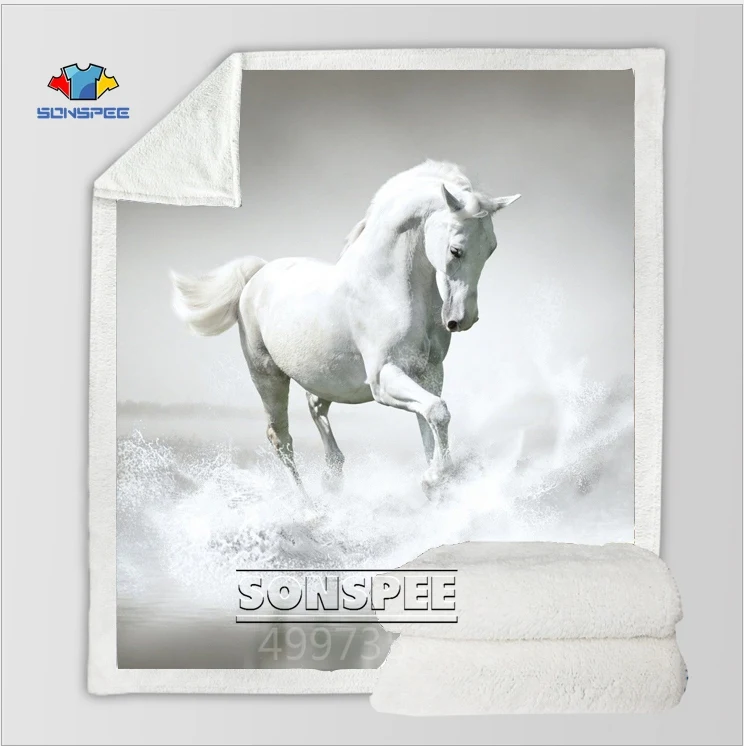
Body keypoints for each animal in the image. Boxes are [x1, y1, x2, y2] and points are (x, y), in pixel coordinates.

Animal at [171, 160, 520, 496]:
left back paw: (332, 477)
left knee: (315, 408)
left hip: (324, 378)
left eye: (491, 248)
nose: (463, 319)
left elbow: (430, 425)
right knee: (281, 439)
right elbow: (437, 412)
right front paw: (434, 479)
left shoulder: (429, 373)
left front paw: (437, 483)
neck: (386, 287)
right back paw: (309, 506)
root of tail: (258, 274)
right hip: (267, 376)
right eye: (455, 250)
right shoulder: (384, 378)